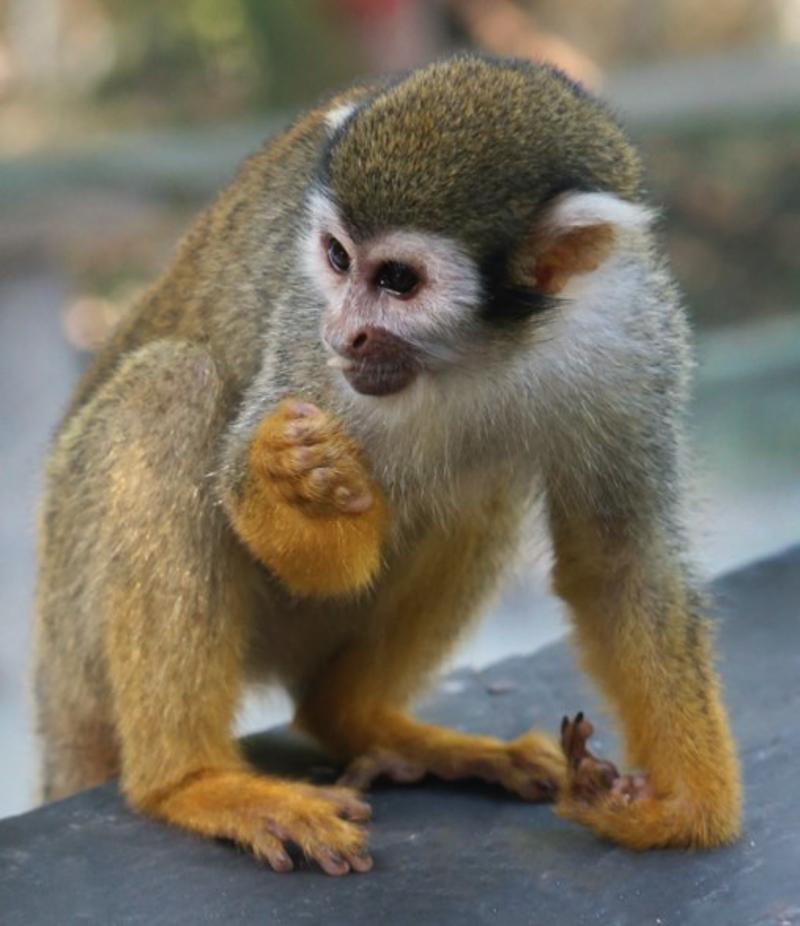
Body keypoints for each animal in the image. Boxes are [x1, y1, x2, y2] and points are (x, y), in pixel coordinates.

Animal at [34, 54, 741, 875]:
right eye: (338, 259)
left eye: (399, 281)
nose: (344, 332)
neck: (487, 350)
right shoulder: (307, 338)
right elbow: (290, 534)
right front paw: (293, 484)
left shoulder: (631, 331)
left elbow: (619, 559)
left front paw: (679, 807)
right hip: (76, 617)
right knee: (167, 389)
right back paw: (191, 781)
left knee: (483, 480)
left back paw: (362, 722)